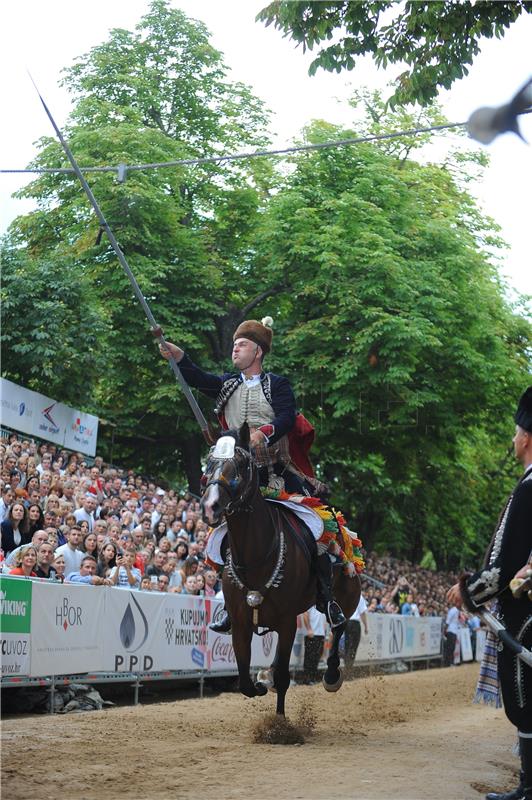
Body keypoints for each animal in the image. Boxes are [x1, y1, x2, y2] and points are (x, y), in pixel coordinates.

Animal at [201, 422, 362, 716]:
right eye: (210, 463)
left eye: (241, 463)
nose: (210, 506)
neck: (256, 555)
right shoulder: (240, 624)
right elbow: (244, 680)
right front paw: (262, 682)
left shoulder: (287, 622)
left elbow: (285, 678)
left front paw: (279, 722)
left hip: (345, 598)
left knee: (339, 626)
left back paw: (332, 675)